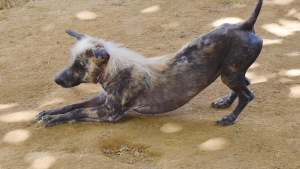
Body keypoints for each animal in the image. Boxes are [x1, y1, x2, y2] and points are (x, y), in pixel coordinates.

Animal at [36, 0, 264, 127]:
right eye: (71, 62)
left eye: (80, 66)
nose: (56, 80)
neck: (114, 72)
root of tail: (244, 25)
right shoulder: (100, 99)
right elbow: (71, 105)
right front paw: (48, 112)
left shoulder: (108, 112)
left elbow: (75, 113)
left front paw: (52, 120)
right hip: (232, 72)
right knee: (246, 83)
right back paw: (225, 102)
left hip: (229, 74)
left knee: (248, 94)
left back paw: (229, 118)